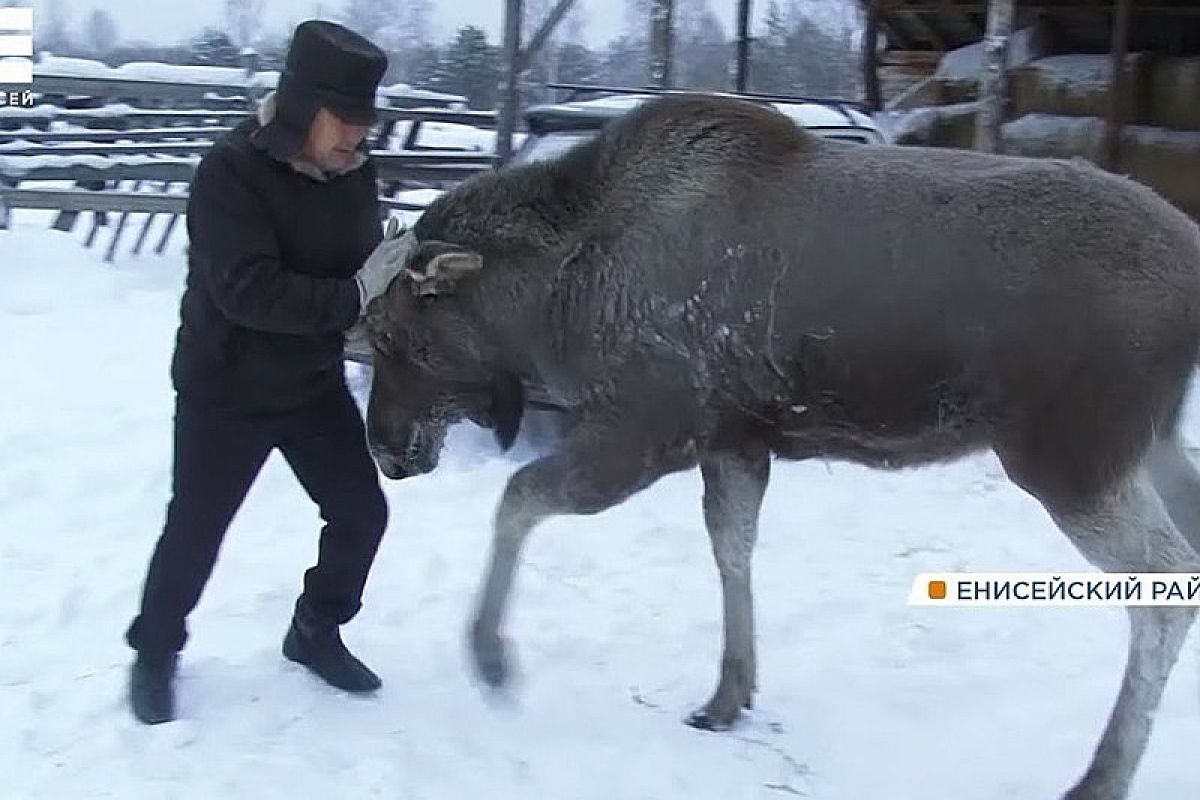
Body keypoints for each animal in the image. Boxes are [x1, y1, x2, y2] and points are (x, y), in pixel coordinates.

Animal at [360, 94, 1200, 800]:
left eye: (397, 337)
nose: (386, 450)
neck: (550, 298)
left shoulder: (644, 430)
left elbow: (519, 498)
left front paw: (490, 655)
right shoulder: (734, 439)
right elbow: (732, 547)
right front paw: (729, 692)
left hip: (1070, 453)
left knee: (1164, 582)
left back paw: (1103, 774)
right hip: (1149, 442)